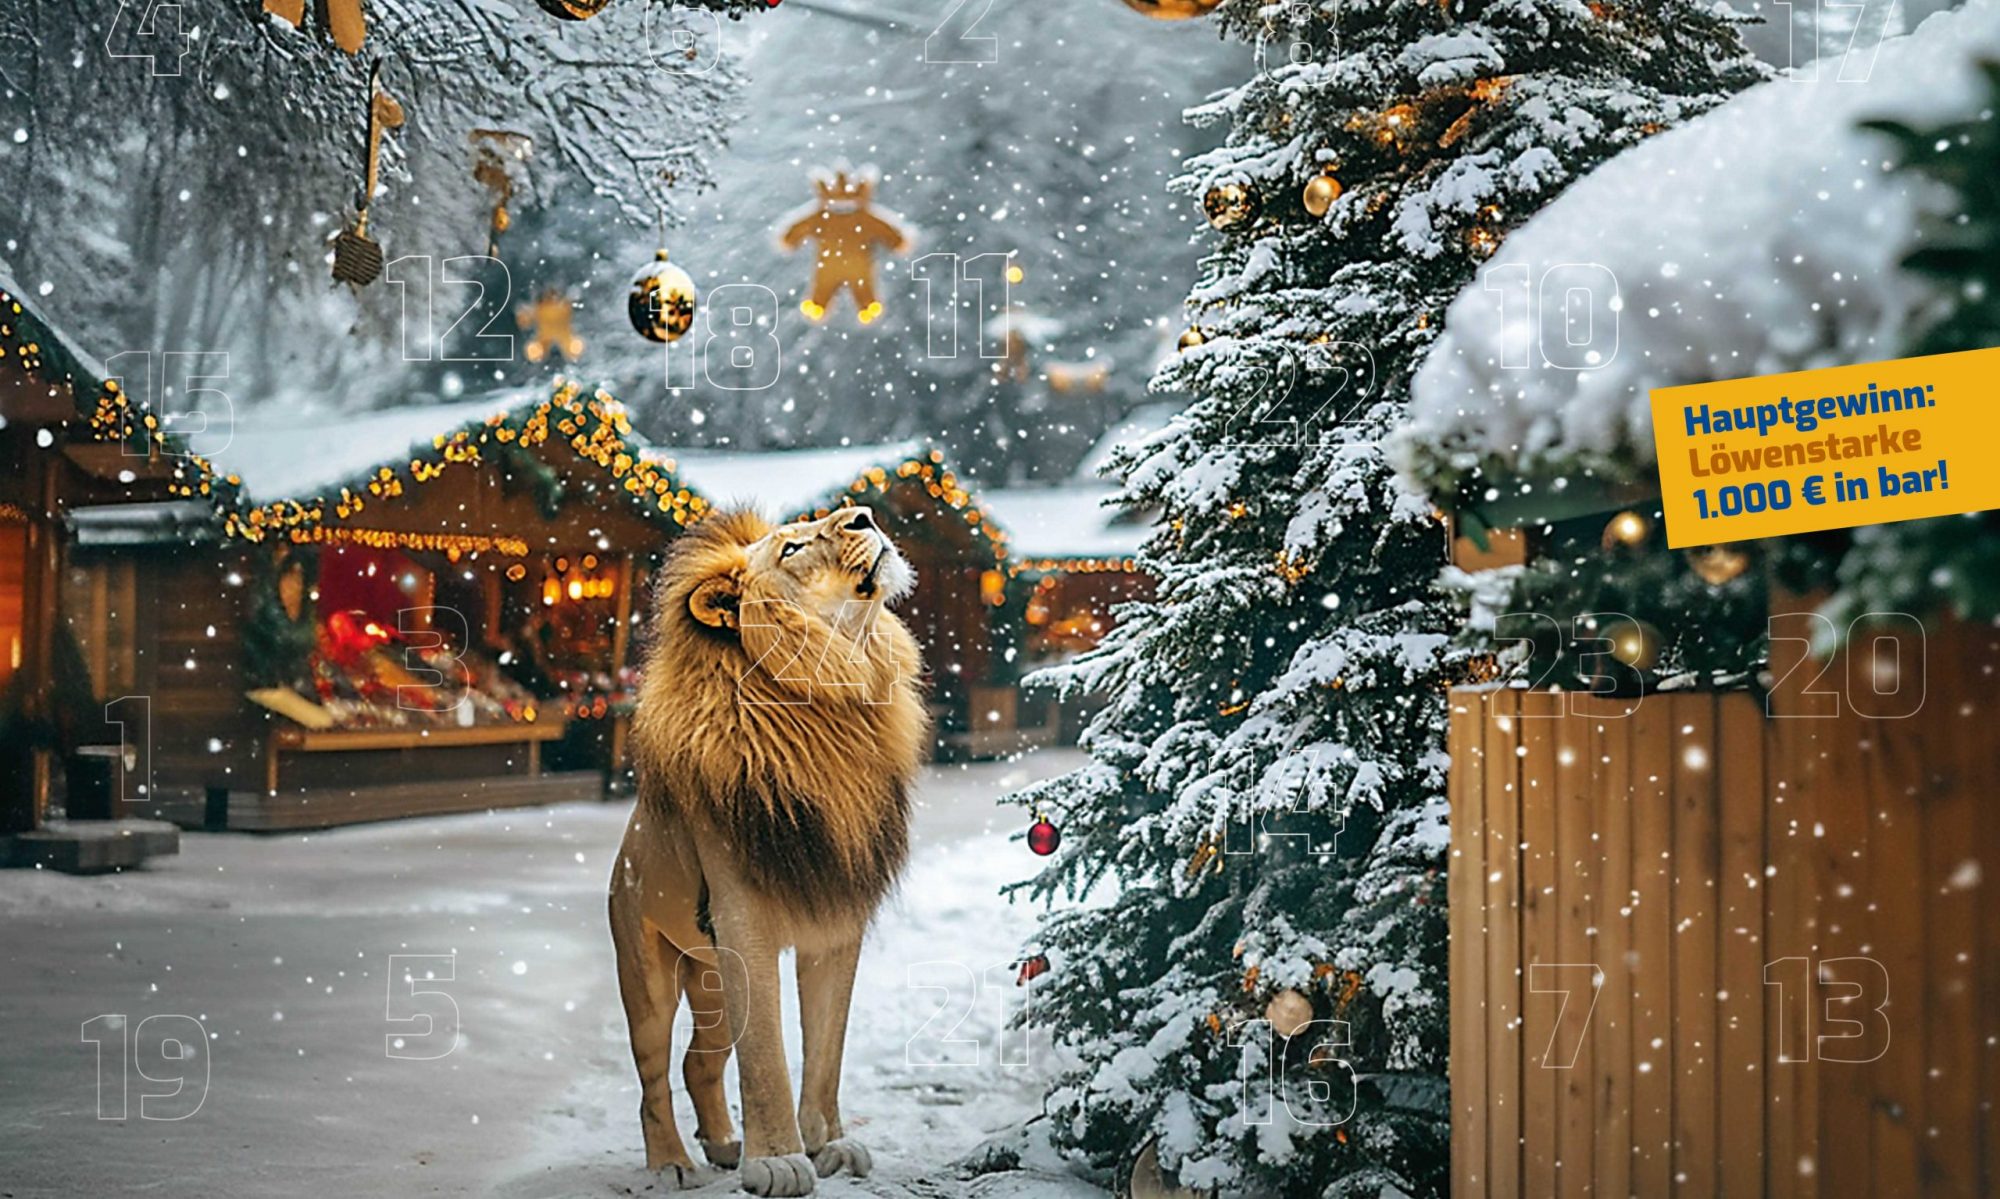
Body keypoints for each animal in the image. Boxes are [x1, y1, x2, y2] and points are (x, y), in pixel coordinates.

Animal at [611, 505, 928, 1197]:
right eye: (791, 548)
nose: (864, 513)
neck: (835, 703)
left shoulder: (838, 919)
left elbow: (827, 1049)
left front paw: (828, 1145)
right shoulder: (743, 922)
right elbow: (766, 1060)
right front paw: (779, 1161)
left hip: (708, 979)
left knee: (698, 1063)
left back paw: (724, 1145)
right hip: (648, 972)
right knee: (652, 1078)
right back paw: (672, 1162)